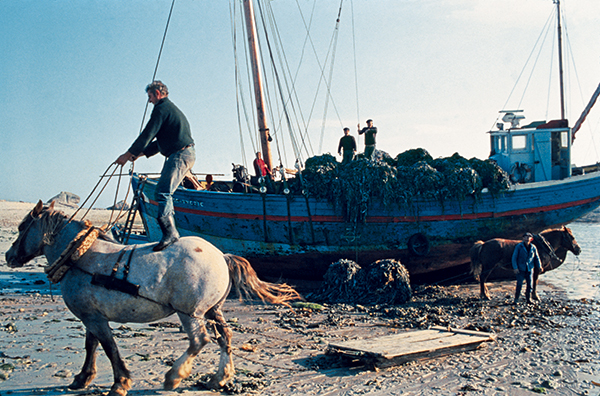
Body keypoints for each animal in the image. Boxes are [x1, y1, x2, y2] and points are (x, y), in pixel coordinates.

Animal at [5, 201, 300, 396]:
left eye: (22, 227)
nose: (8, 256)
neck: (79, 257)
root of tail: (221, 255)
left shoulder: (95, 319)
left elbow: (109, 348)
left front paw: (120, 383)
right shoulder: (92, 316)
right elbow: (92, 346)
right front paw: (82, 378)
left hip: (190, 312)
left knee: (200, 340)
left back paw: (174, 377)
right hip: (213, 309)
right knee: (225, 337)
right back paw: (219, 378)